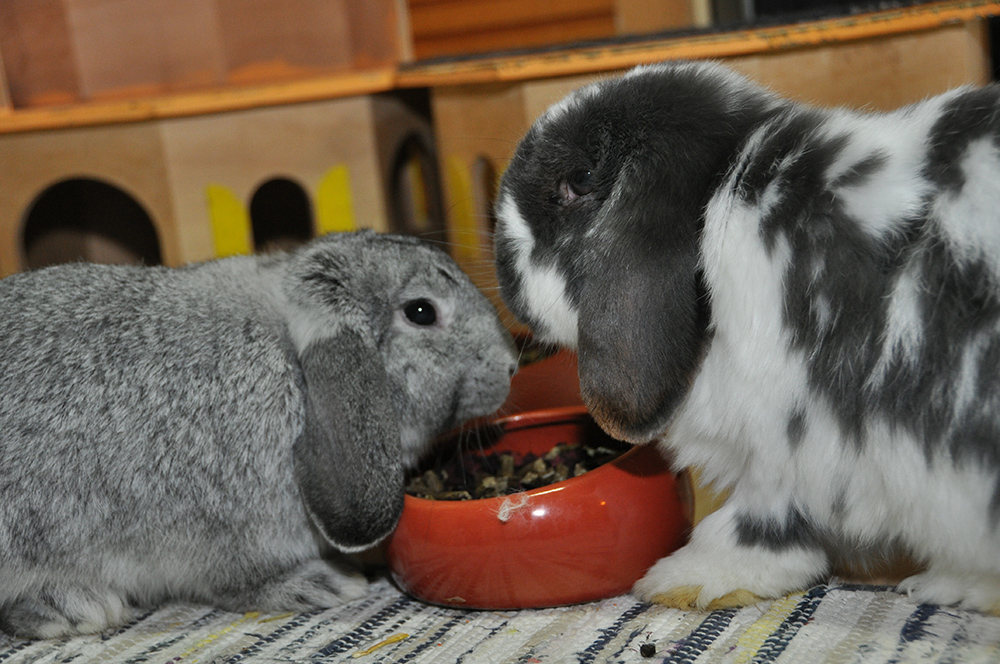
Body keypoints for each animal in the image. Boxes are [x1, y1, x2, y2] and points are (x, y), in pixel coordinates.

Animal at [0, 230, 516, 640]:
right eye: (422, 312)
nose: (511, 363)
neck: (291, 362)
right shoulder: (226, 536)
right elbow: (240, 583)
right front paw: (323, 583)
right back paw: (74, 608)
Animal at [500, 61, 1000, 612]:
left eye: (579, 180)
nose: (502, 267)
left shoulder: (793, 437)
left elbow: (756, 518)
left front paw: (685, 579)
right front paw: (958, 583)